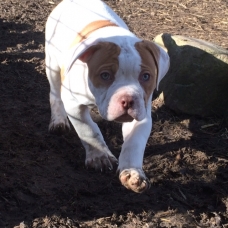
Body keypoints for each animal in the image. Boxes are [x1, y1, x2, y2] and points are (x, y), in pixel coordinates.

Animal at [45, 0, 169, 193]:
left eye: (146, 76)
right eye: (105, 75)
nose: (128, 100)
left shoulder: (142, 113)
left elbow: (134, 143)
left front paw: (132, 173)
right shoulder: (73, 105)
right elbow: (88, 130)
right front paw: (99, 156)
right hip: (52, 64)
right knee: (55, 94)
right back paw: (58, 120)